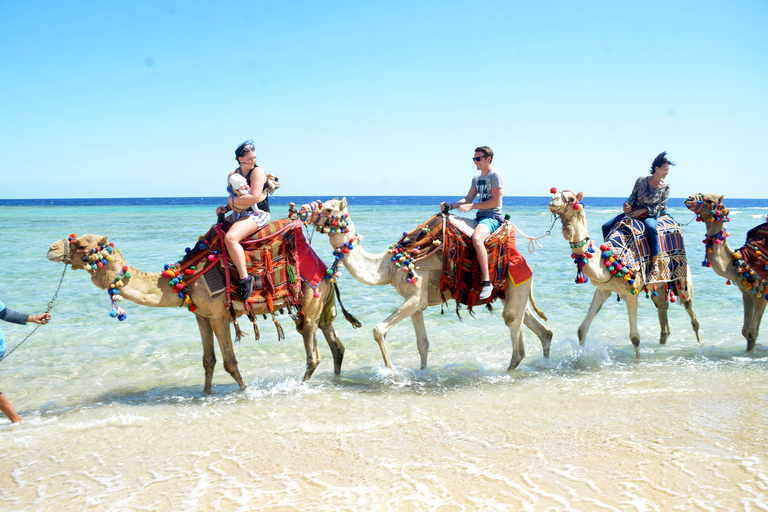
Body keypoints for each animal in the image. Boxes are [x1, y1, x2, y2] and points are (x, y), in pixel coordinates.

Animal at [45, 234, 352, 394]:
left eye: (82, 244)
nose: (51, 248)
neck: (183, 280)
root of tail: (327, 271)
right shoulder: (201, 315)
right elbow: (208, 360)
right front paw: (204, 394)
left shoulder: (218, 316)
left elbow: (229, 362)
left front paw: (245, 391)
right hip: (319, 304)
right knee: (335, 344)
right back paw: (335, 379)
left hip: (309, 304)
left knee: (313, 352)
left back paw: (298, 386)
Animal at [300, 199, 552, 372]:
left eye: (329, 209)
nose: (303, 211)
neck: (390, 265)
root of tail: (526, 263)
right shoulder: (416, 304)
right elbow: (423, 343)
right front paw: (422, 373)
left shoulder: (414, 296)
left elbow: (378, 330)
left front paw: (393, 372)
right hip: (513, 292)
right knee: (539, 328)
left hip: (515, 285)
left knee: (513, 326)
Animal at [548, 189, 700, 356]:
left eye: (571, 198)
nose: (553, 199)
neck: (610, 262)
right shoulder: (602, 290)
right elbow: (582, 329)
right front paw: (581, 357)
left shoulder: (631, 294)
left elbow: (635, 338)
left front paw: (638, 361)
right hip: (659, 284)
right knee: (662, 310)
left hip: (681, 277)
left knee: (690, 310)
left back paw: (699, 343)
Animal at [688, 194, 764, 350]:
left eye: (710, 200)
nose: (688, 199)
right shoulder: (747, 293)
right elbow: (746, 331)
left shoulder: (762, 293)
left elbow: (752, 332)